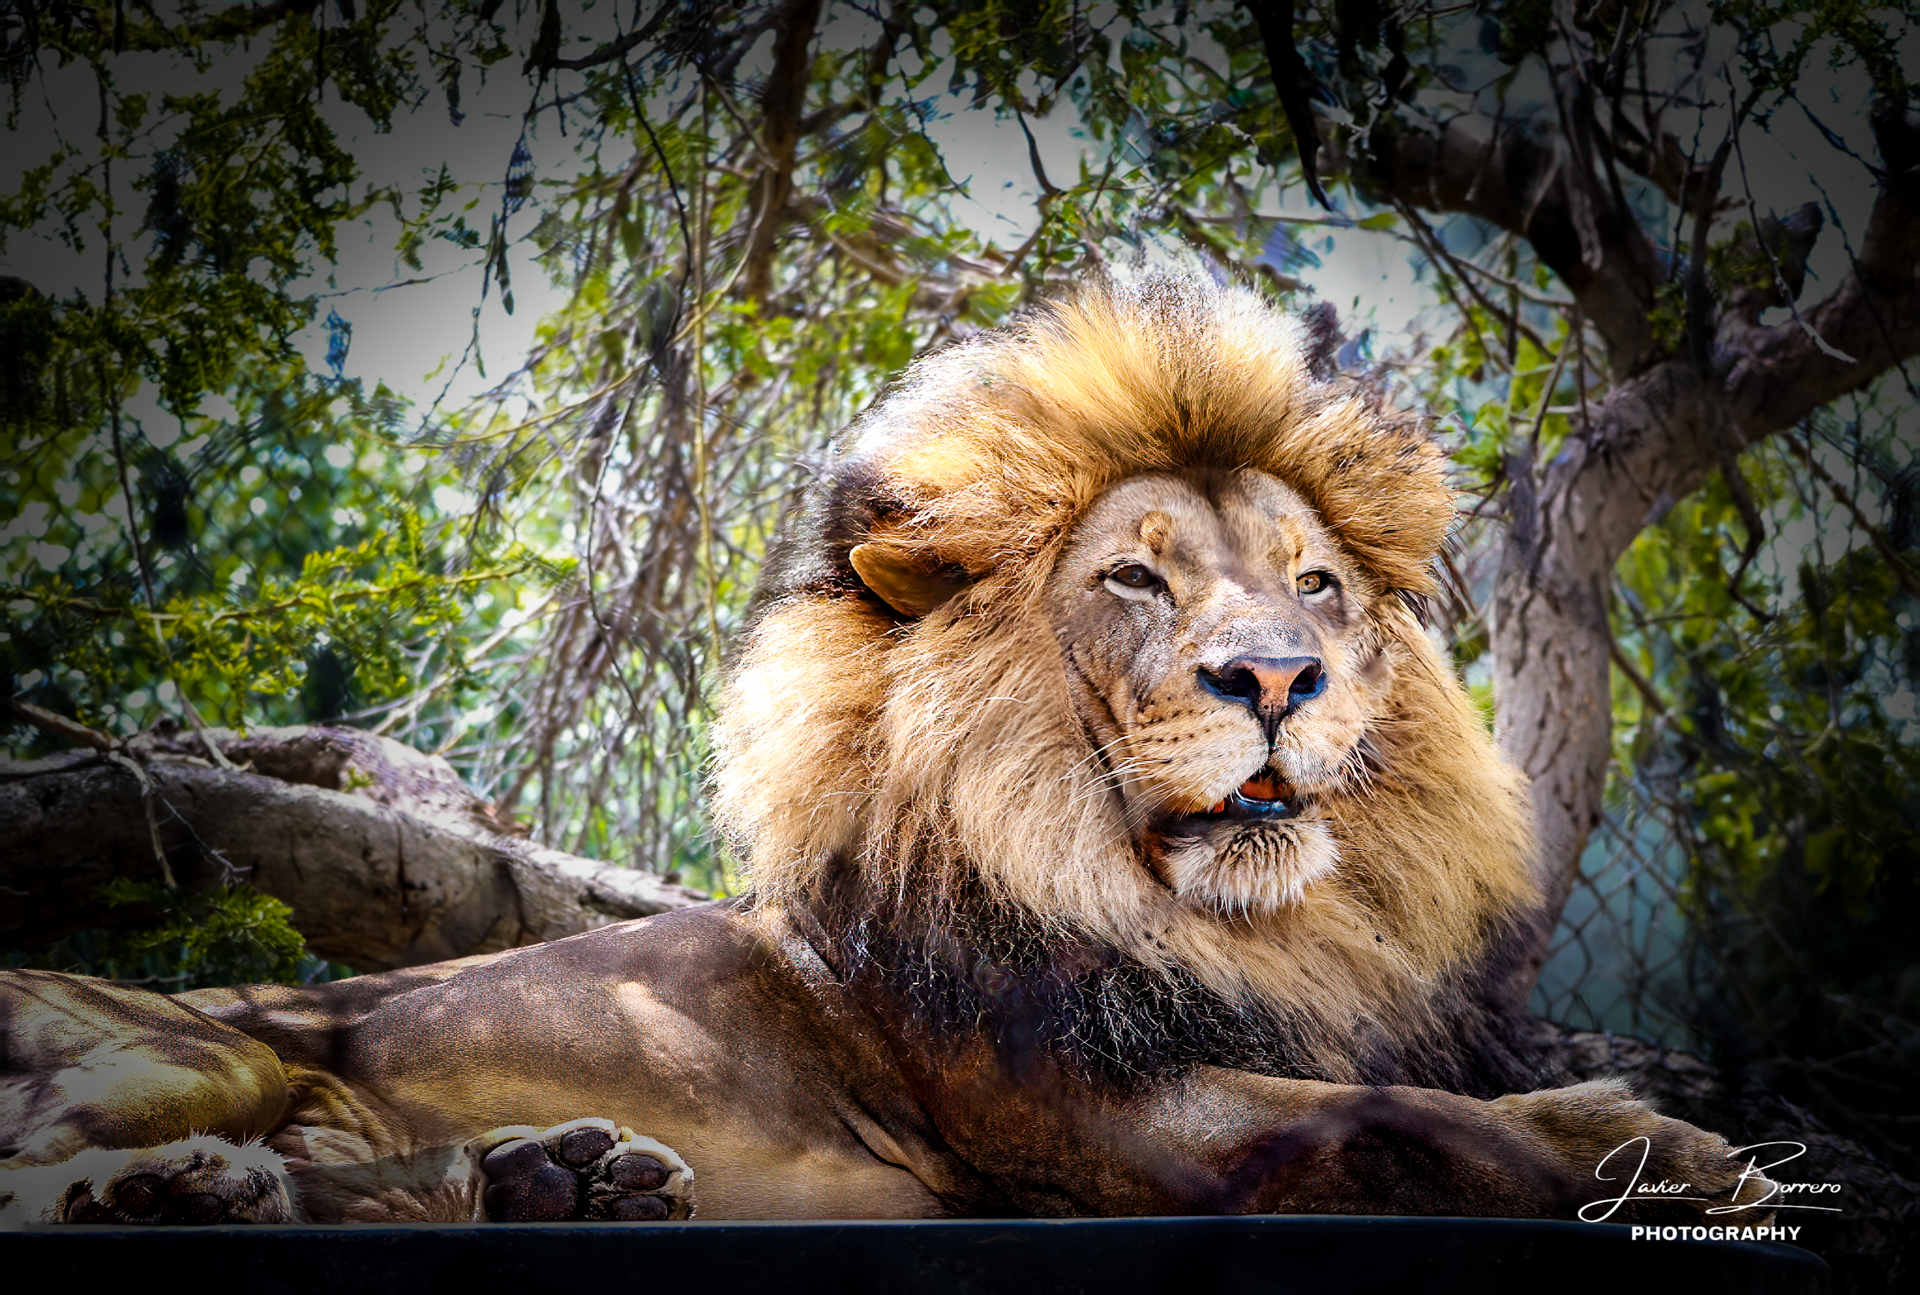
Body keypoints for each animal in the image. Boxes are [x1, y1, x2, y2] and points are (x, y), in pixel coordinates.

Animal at [1, 266, 1771, 1227]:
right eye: (1135, 577)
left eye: (1317, 580)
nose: (1282, 673)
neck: (1226, 923)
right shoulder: (1096, 1121)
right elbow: (1414, 1122)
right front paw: (1686, 1156)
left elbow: (1439, 1097)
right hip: (197, 1047)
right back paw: (191, 1189)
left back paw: (549, 1176)